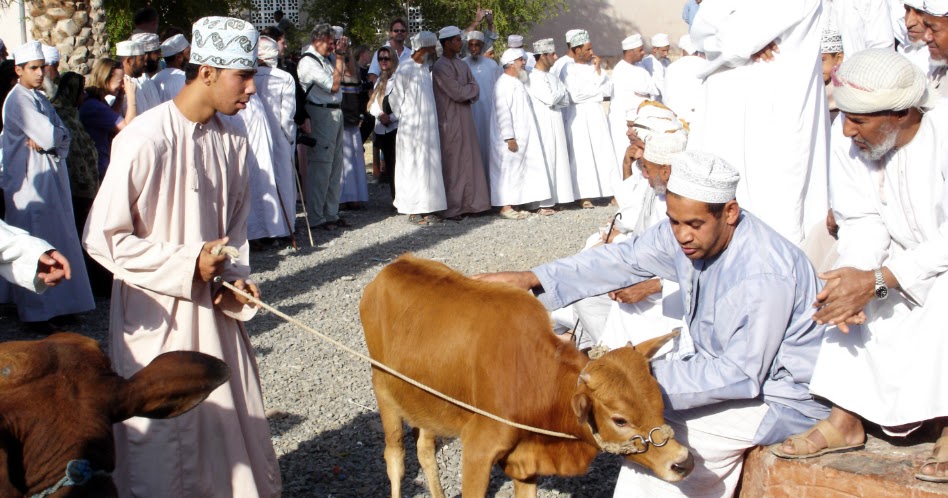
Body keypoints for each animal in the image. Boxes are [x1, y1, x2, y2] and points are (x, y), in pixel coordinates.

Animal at [360, 256, 692, 498]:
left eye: (659, 401)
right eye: (620, 420)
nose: (682, 461)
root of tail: (394, 265)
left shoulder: (526, 461)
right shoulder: (478, 450)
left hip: (424, 401)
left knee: (425, 449)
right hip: (383, 391)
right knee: (395, 457)